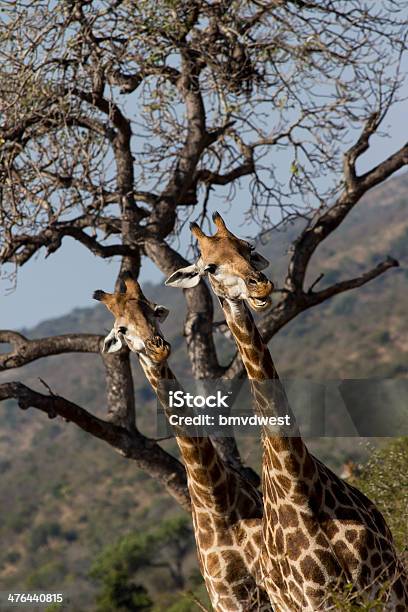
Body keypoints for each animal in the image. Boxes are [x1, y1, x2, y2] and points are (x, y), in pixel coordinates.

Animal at [167, 213, 408, 608]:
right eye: (211, 267)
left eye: (247, 247)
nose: (260, 285)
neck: (299, 480)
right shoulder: (318, 601)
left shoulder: (385, 583)